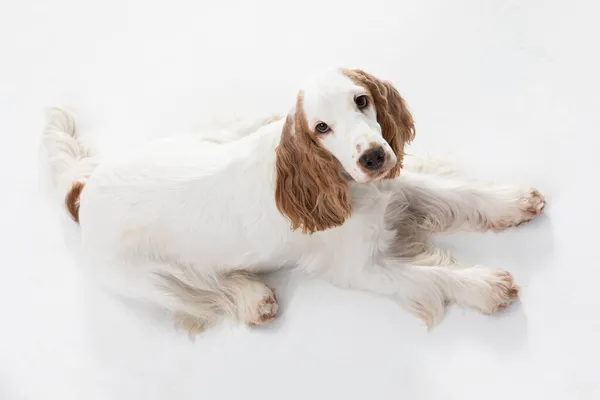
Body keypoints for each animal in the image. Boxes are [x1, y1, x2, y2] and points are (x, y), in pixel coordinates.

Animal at [44, 68, 548, 334]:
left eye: (362, 100)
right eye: (321, 127)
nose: (373, 156)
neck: (343, 185)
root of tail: (83, 190)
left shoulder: (393, 190)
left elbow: (458, 192)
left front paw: (514, 200)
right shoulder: (360, 269)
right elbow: (431, 275)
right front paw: (486, 285)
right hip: (148, 279)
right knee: (202, 290)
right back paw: (254, 299)